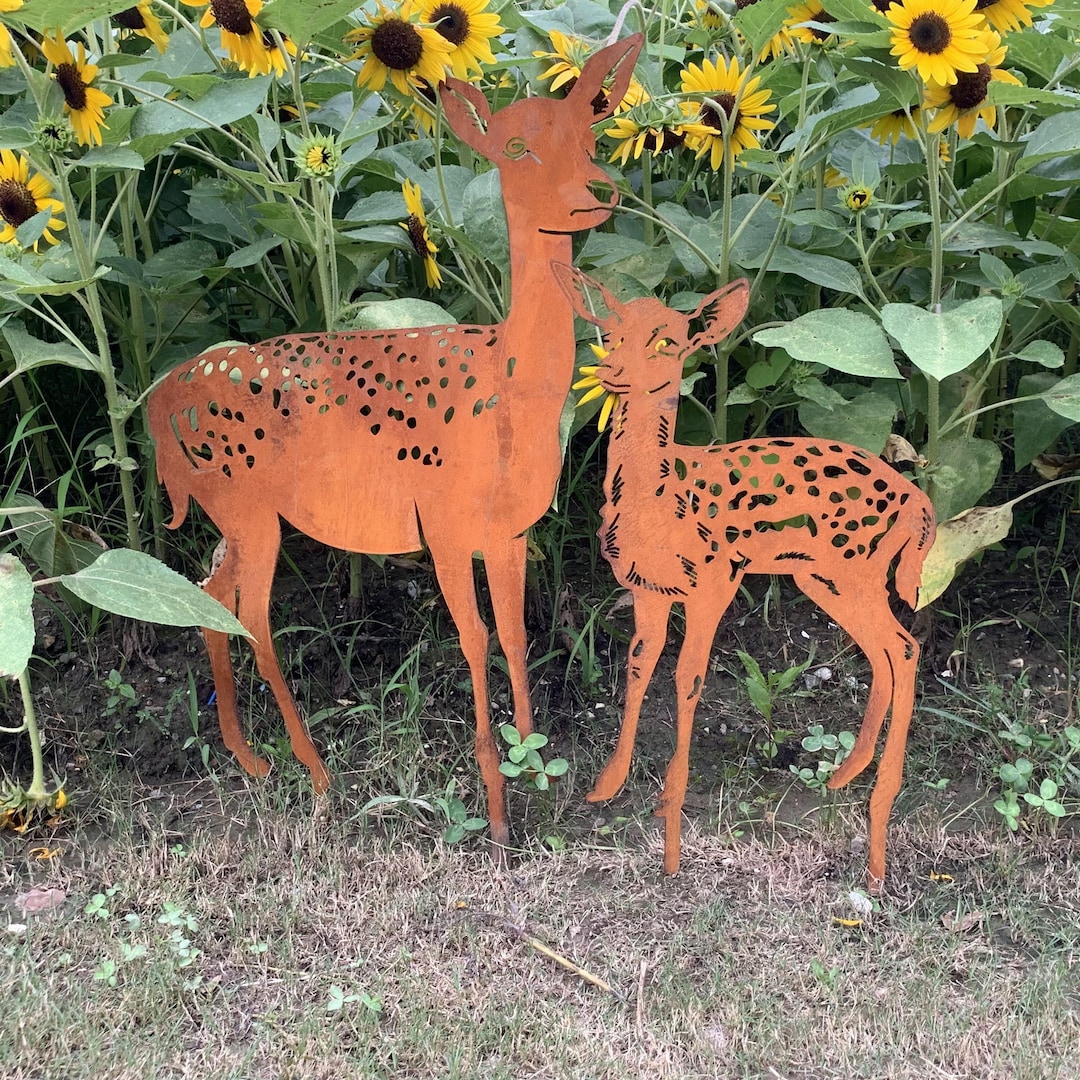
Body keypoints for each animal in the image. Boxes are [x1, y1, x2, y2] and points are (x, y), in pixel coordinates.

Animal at [148, 35, 644, 855]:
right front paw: (497, 813)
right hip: (246, 505)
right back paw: (317, 776)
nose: (598, 191)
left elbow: (515, 637)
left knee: (211, 592)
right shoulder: (441, 523)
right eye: (516, 147)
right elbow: (475, 640)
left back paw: (250, 758)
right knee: (252, 613)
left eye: (591, 136)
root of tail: (158, 403)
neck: (513, 390)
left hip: (234, 513)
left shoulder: (509, 532)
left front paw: (537, 777)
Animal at [554, 265, 936, 891]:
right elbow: (638, 665)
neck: (656, 500)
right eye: (608, 336)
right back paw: (847, 777)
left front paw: (672, 832)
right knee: (888, 651)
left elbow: (686, 678)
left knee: (904, 647)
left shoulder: (716, 579)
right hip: (824, 579)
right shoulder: (645, 589)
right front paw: (606, 788)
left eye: (666, 342)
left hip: (852, 570)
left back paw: (878, 829)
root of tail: (917, 502)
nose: (611, 374)